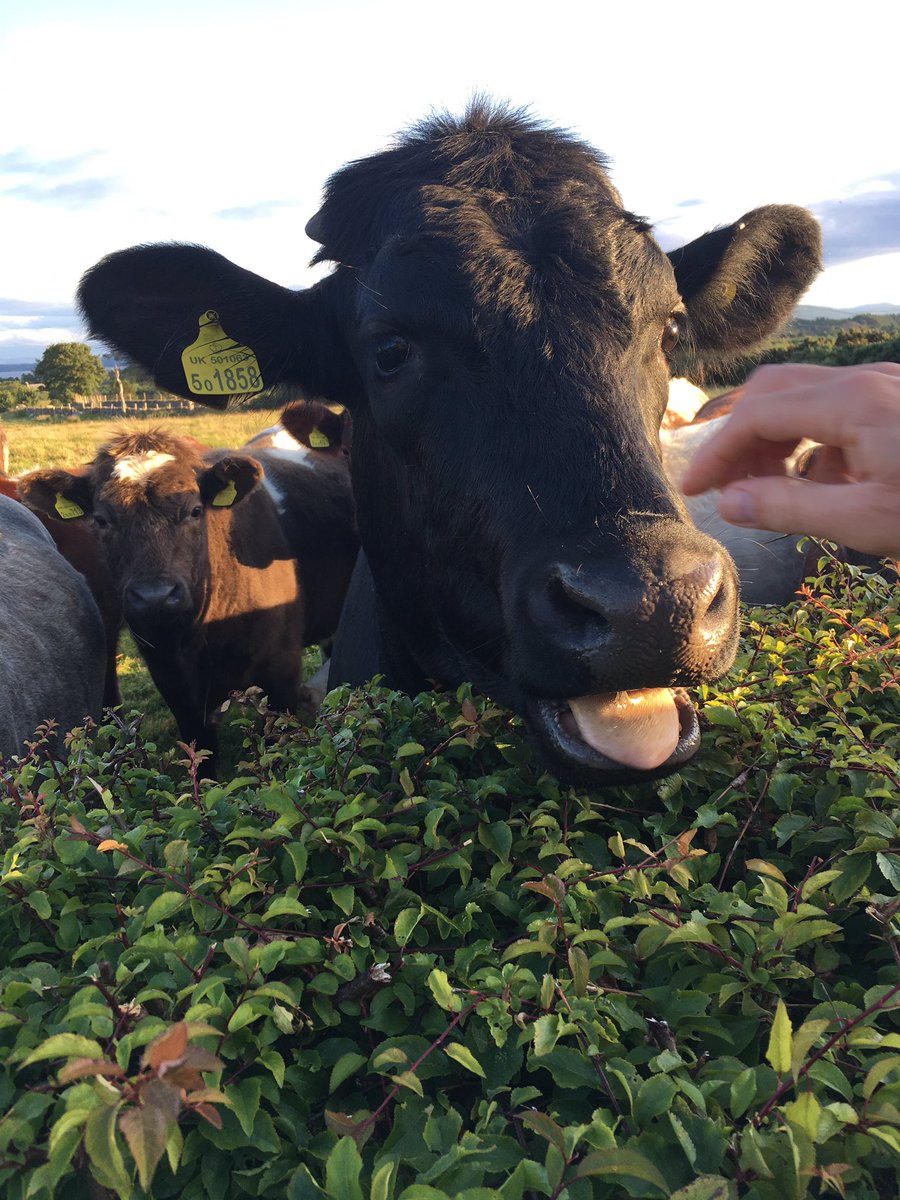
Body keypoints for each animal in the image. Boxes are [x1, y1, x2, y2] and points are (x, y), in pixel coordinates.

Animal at [19, 429, 305, 772]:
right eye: (100, 520)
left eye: (195, 510)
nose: (155, 596)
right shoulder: (173, 683)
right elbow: (202, 755)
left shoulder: (283, 671)